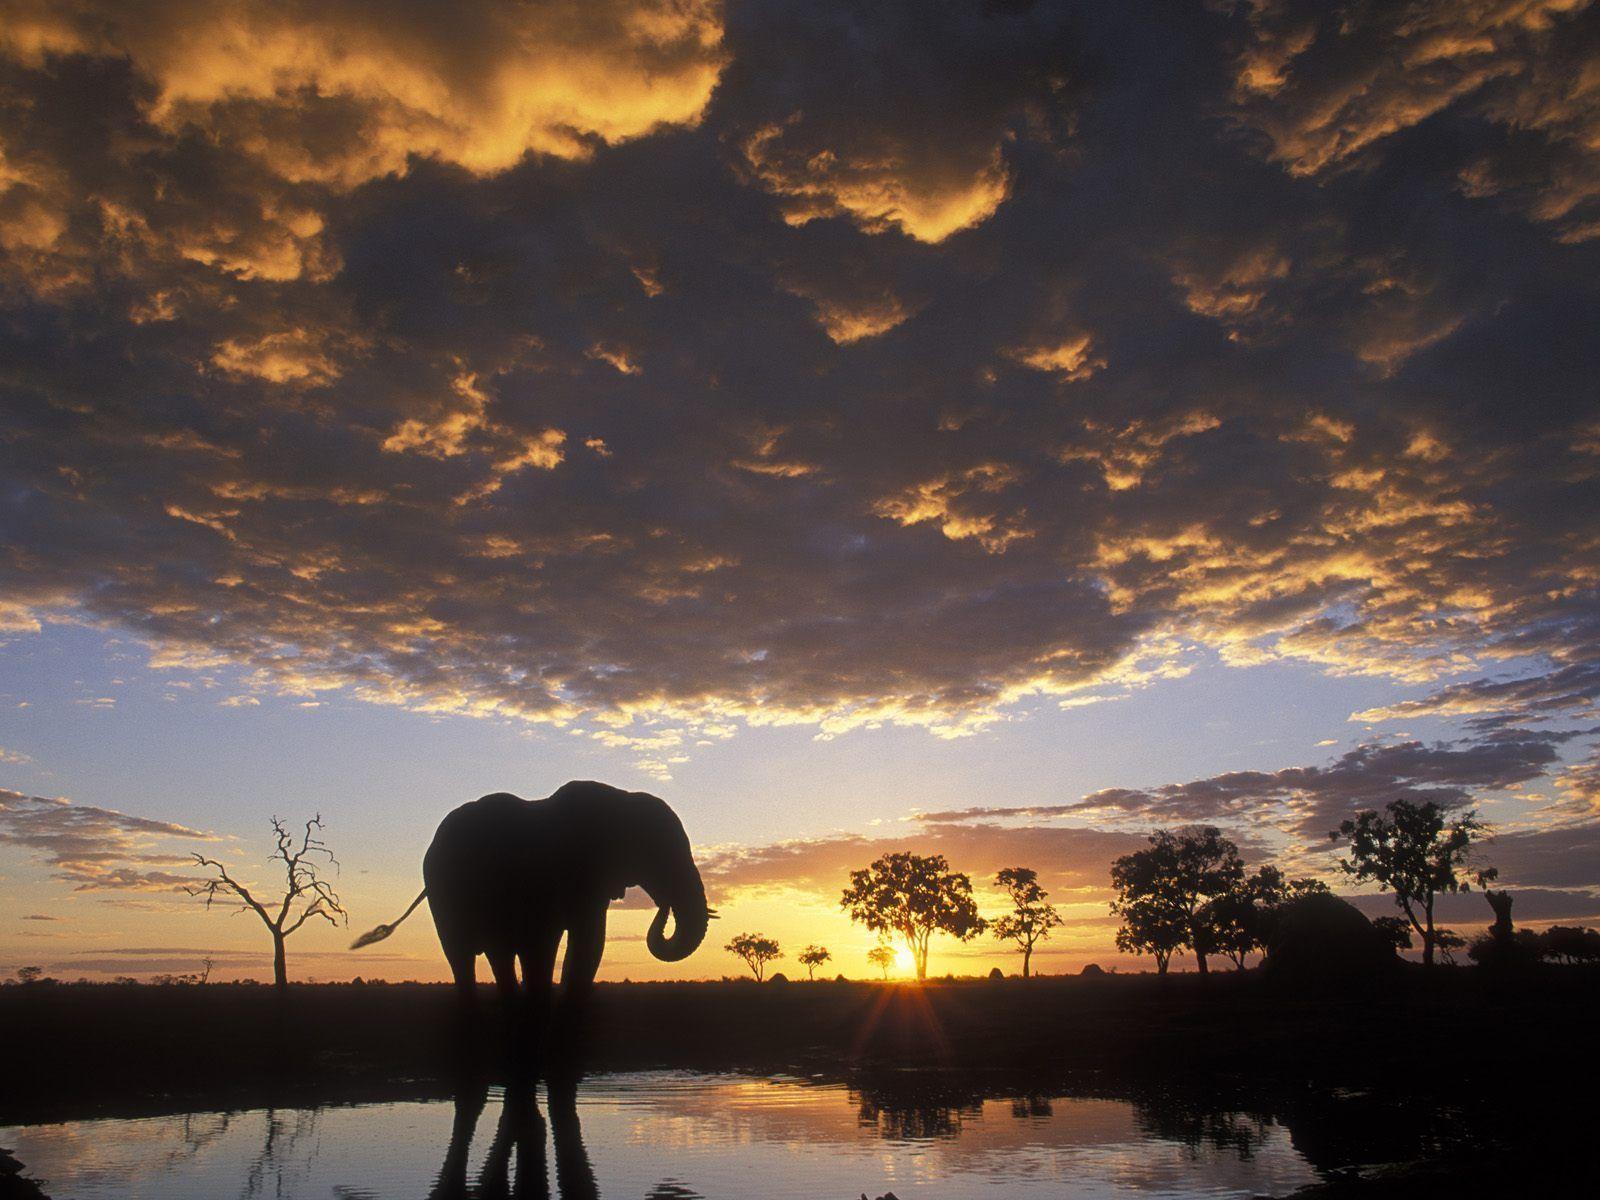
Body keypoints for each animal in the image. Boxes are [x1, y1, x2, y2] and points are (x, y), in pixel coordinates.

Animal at [352, 780, 711, 1066]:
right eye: (657, 853)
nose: (663, 905)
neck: (618, 798)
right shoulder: (551, 875)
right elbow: (547, 946)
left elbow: (588, 945)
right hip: (446, 898)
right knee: (463, 959)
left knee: (499, 958)